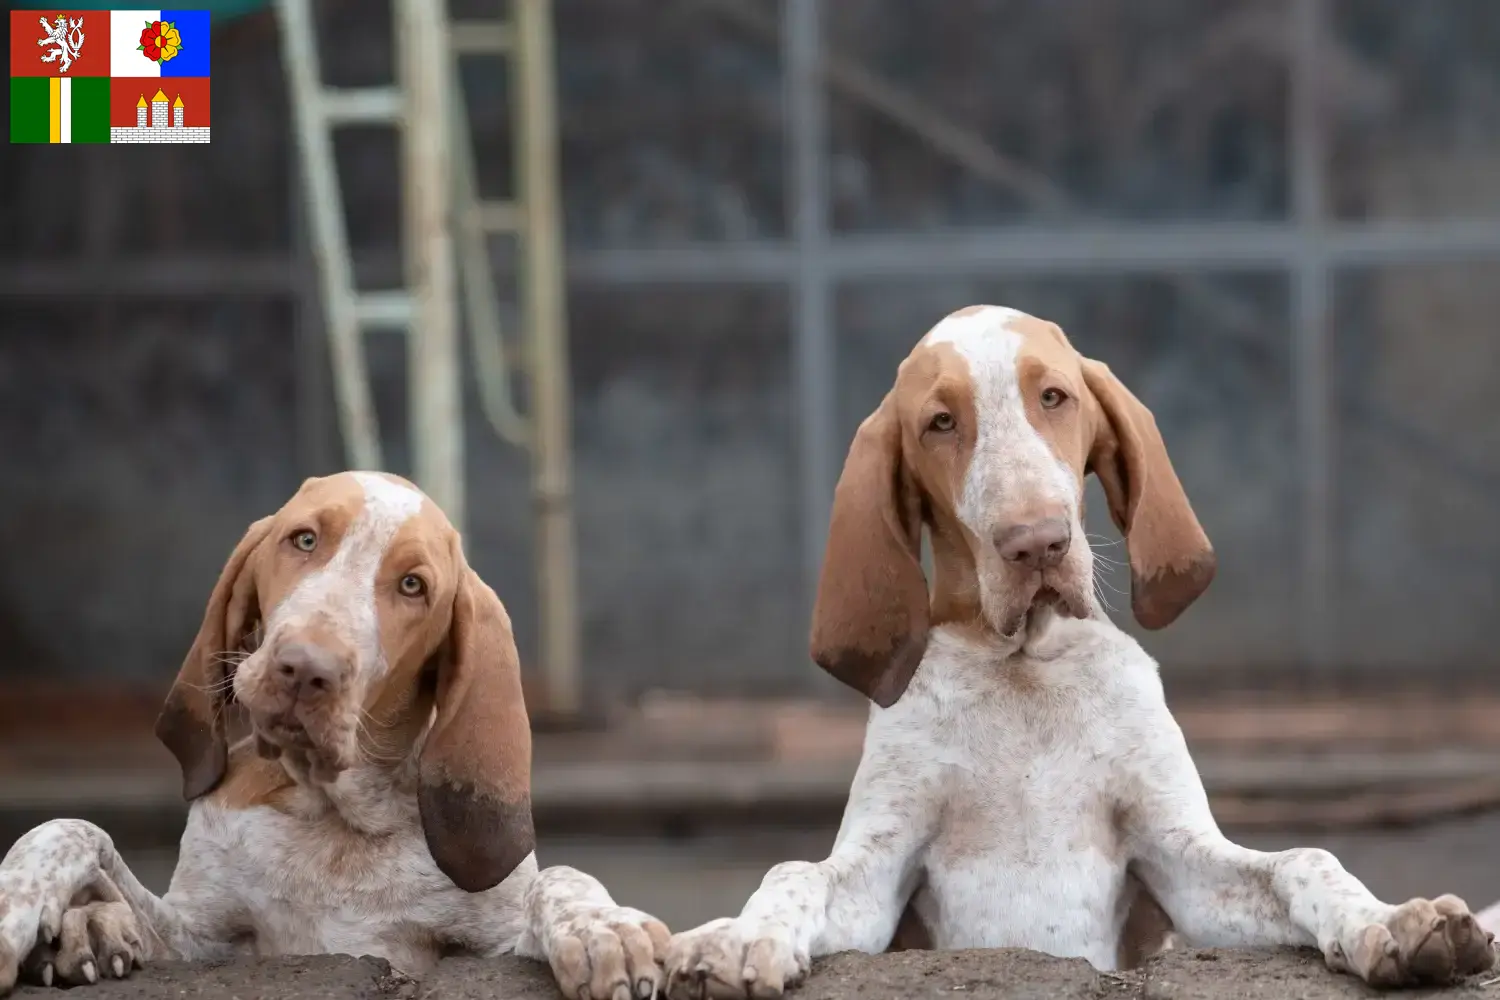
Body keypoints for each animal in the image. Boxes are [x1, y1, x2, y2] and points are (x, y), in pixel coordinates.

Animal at [0, 470, 669, 1000]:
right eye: (304, 540)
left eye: (413, 585)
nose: (304, 670)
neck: (332, 813)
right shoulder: (197, 940)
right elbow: (69, 829)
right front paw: (15, 913)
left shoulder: (493, 944)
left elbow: (561, 878)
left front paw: (603, 927)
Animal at [663, 308, 1494, 995]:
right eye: (940, 422)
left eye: (1054, 397)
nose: (1037, 544)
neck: (1026, 666)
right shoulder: (880, 873)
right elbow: (794, 871)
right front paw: (743, 936)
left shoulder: (1178, 856)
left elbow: (1306, 860)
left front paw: (1389, 923)